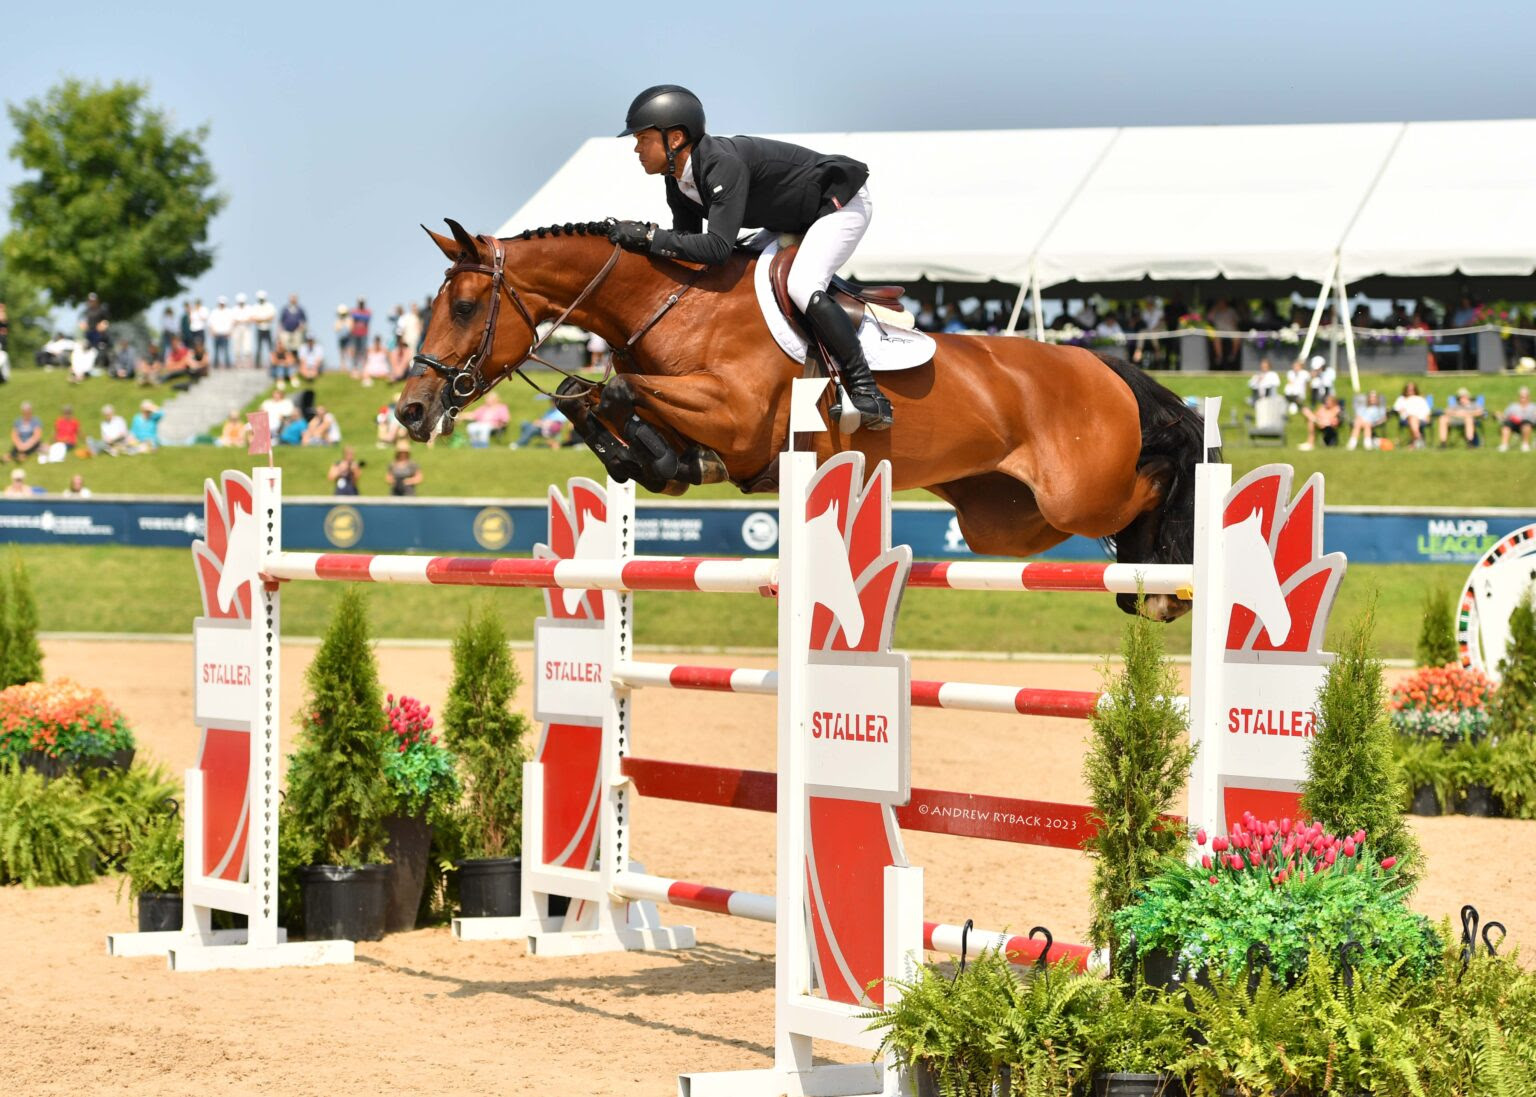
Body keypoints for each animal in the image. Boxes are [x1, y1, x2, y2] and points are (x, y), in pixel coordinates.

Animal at [390, 218, 1204, 620]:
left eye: (465, 306)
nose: (410, 409)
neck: (674, 303)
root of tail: (1103, 365)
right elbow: (589, 398)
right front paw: (649, 462)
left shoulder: (737, 414)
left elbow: (616, 389)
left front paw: (655, 453)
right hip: (1004, 521)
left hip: (1077, 490)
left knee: (1157, 477)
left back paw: (1167, 570)